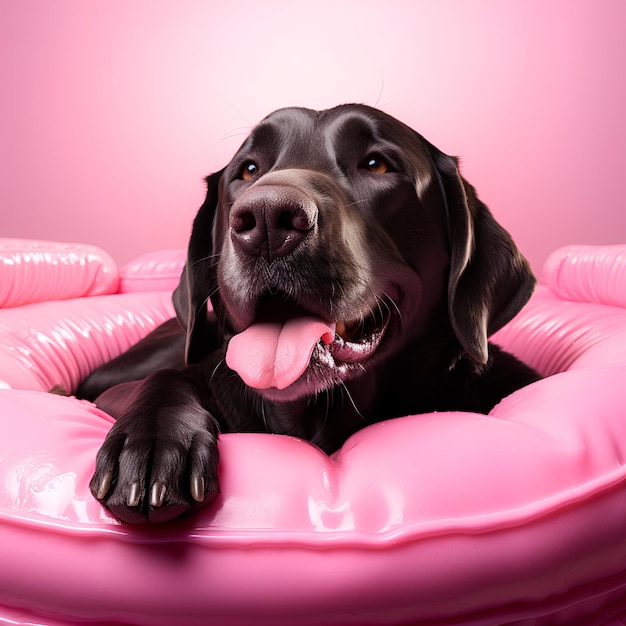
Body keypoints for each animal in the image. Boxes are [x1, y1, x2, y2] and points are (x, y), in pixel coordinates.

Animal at [77, 103, 536, 520]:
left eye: (377, 164)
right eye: (247, 171)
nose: (266, 218)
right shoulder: (117, 393)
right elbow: (165, 378)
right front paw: (153, 444)